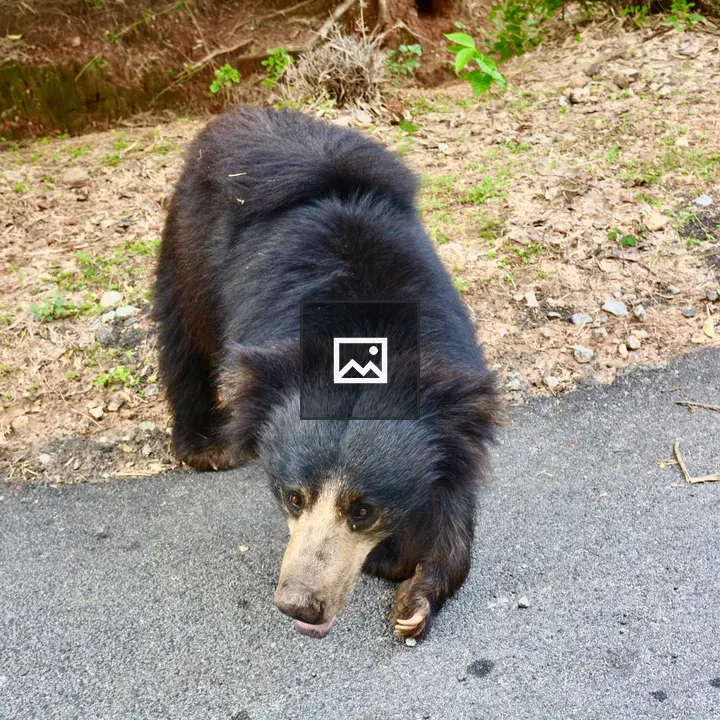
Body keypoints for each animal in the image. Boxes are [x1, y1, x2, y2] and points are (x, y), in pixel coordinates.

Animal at [154, 107, 501, 639]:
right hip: (191, 244)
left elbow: (451, 503)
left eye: (363, 510)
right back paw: (206, 448)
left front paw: (413, 597)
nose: (299, 605)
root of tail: (237, 117)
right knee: (183, 336)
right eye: (294, 498)